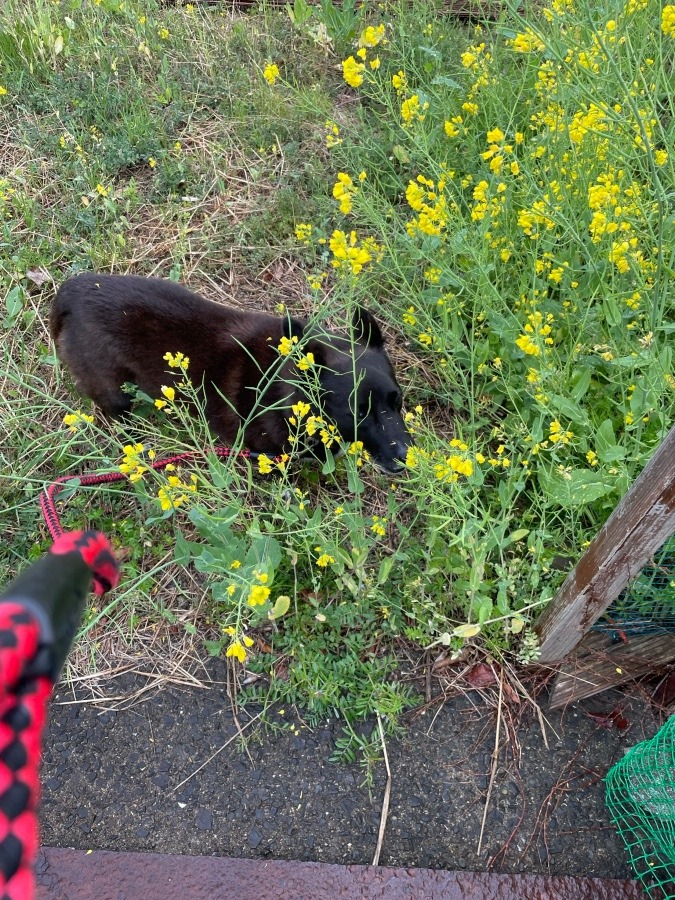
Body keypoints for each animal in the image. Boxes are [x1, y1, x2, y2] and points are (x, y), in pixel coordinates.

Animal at [50, 272, 410, 472]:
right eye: (357, 413)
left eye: (398, 401)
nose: (408, 457)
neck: (284, 391)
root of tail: (71, 291)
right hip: (113, 393)